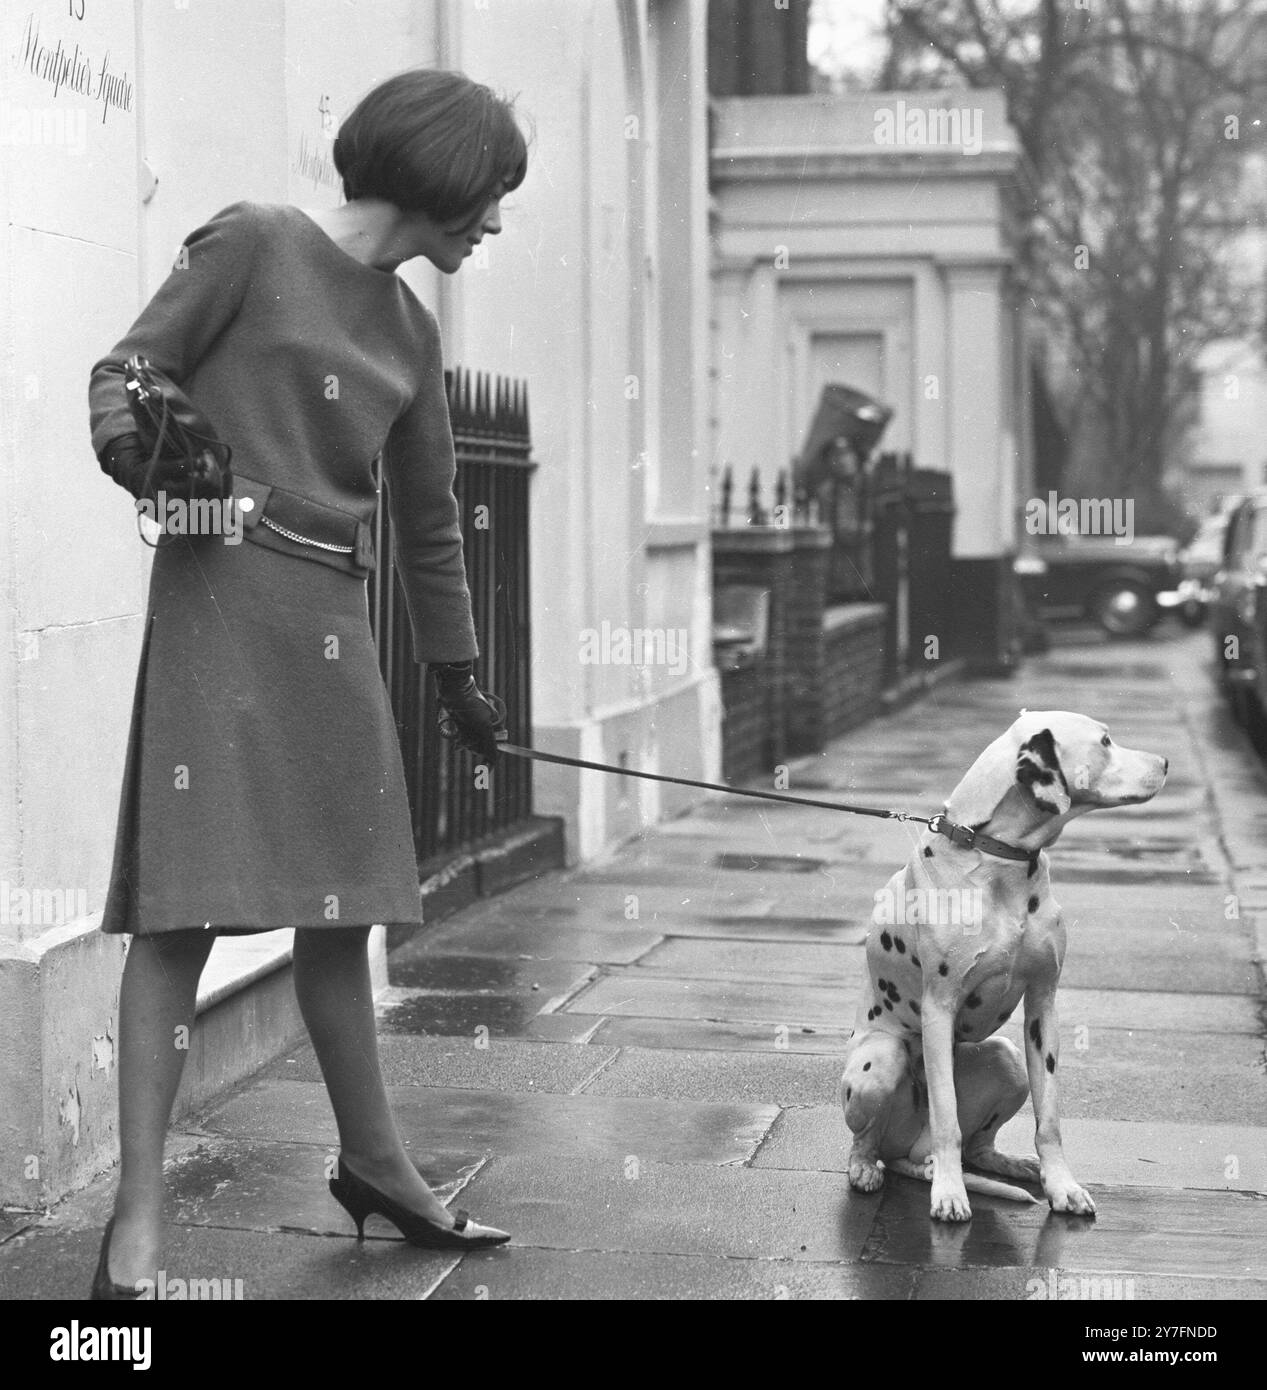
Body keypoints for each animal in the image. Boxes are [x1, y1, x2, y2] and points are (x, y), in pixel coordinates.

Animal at [839, 711, 1166, 1223]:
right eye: (1105, 741)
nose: (1166, 763)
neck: (994, 854)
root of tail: (910, 1152)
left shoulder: (1042, 1008)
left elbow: (1049, 1119)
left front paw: (1062, 1186)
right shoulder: (938, 1011)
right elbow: (947, 1118)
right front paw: (950, 1194)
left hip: (1007, 1060)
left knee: (978, 1147)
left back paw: (1010, 1164)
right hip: (882, 1062)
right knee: (871, 1140)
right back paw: (869, 1169)